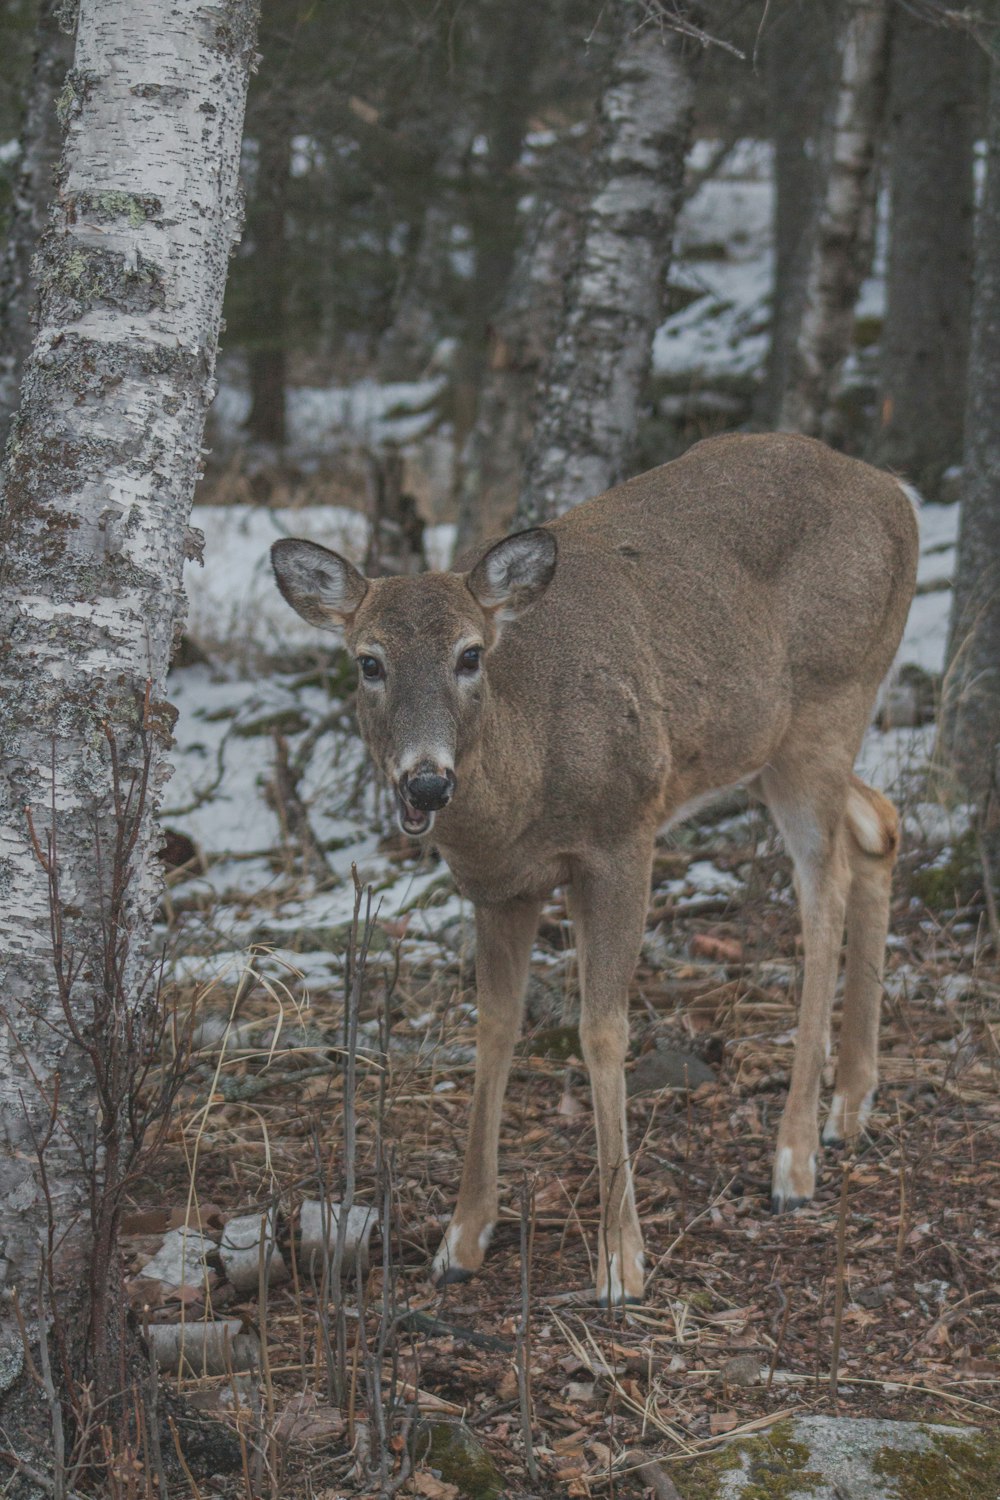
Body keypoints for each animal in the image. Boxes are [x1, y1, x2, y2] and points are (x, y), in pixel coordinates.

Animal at [269, 432, 917, 1302]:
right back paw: (851, 1104)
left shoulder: (621, 839)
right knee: (880, 823)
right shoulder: (499, 888)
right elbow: (494, 1029)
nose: (427, 781)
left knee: (824, 893)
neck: (525, 781)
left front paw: (621, 1259)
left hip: (828, 701)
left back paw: (795, 1158)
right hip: (767, 743)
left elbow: (602, 1029)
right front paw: (462, 1237)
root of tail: (897, 492)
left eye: (470, 654)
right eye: (369, 662)